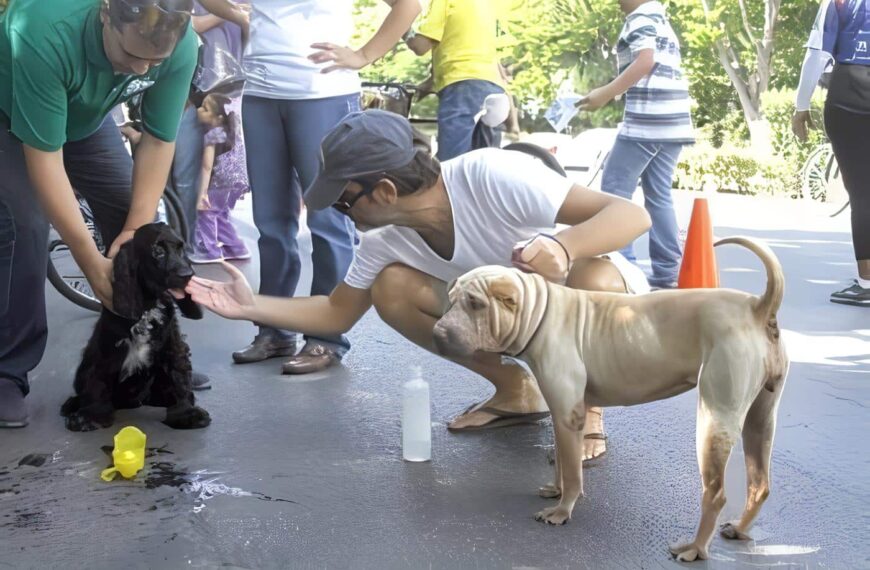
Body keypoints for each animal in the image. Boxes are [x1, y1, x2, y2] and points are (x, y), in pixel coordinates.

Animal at [62, 222, 212, 430]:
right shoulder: (105, 352)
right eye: (157, 251)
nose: (188, 275)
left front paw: (186, 413)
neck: (147, 308)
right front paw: (91, 416)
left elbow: (179, 377)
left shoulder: (173, 347)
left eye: (181, 248)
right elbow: (98, 382)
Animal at [434, 236, 792, 560]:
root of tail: (758, 307)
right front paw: (556, 490)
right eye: (451, 300)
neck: (540, 311)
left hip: (714, 419)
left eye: (476, 304)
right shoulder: (562, 414)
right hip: (761, 418)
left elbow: (573, 471)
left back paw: (695, 548)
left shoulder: (569, 415)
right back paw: (740, 529)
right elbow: (562, 459)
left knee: (715, 493)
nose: (438, 333)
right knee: (760, 482)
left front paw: (562, 510)